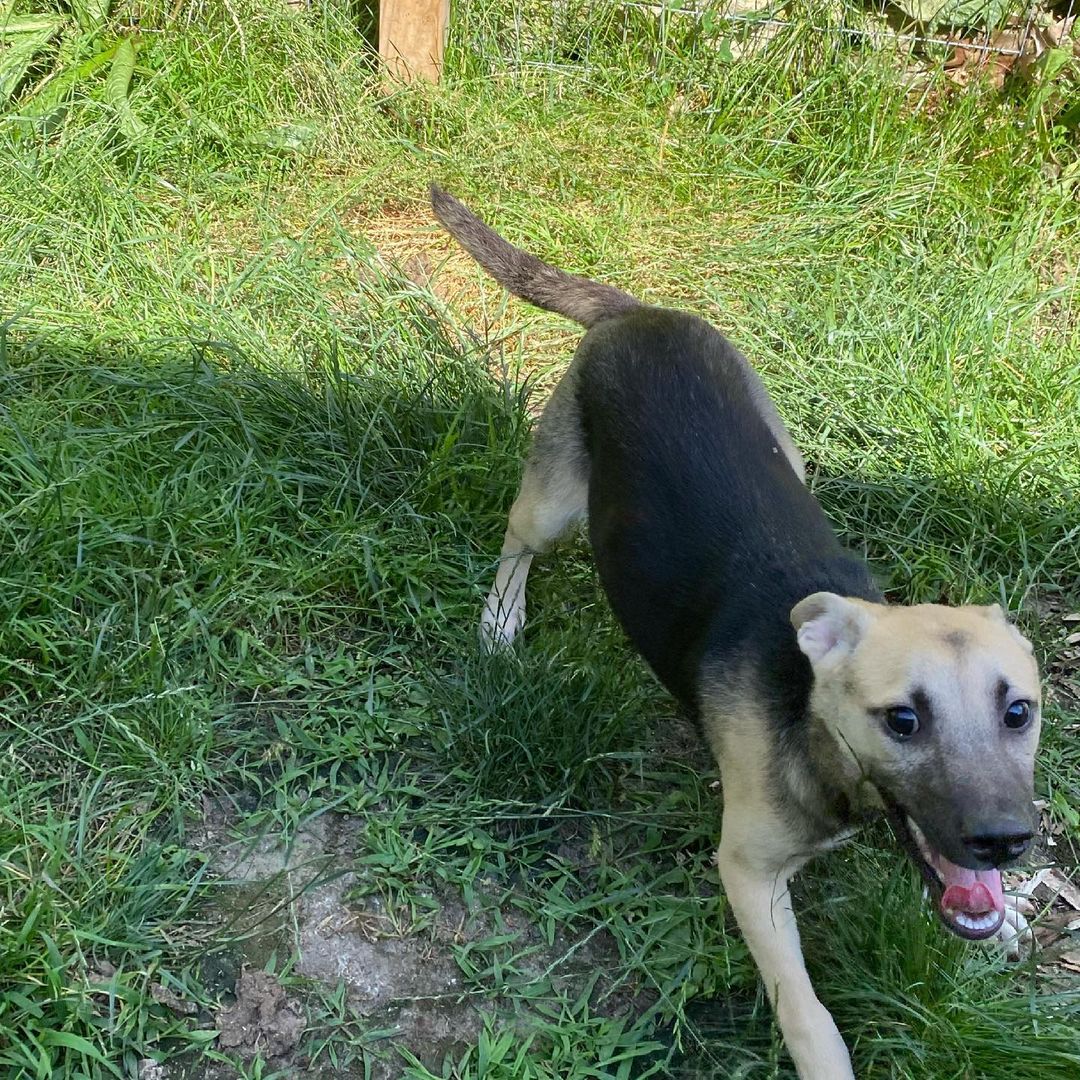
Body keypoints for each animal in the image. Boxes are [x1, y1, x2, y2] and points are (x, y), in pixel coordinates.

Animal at [427, 185, 1036, 1080]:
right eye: (902, 720)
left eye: (1019, 712)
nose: (1004, 842)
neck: (808, 717)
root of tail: (636, 313)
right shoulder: (748, 874)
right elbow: (808, 1015)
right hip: (556, 500)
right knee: (517, 538)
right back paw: (501, 620)